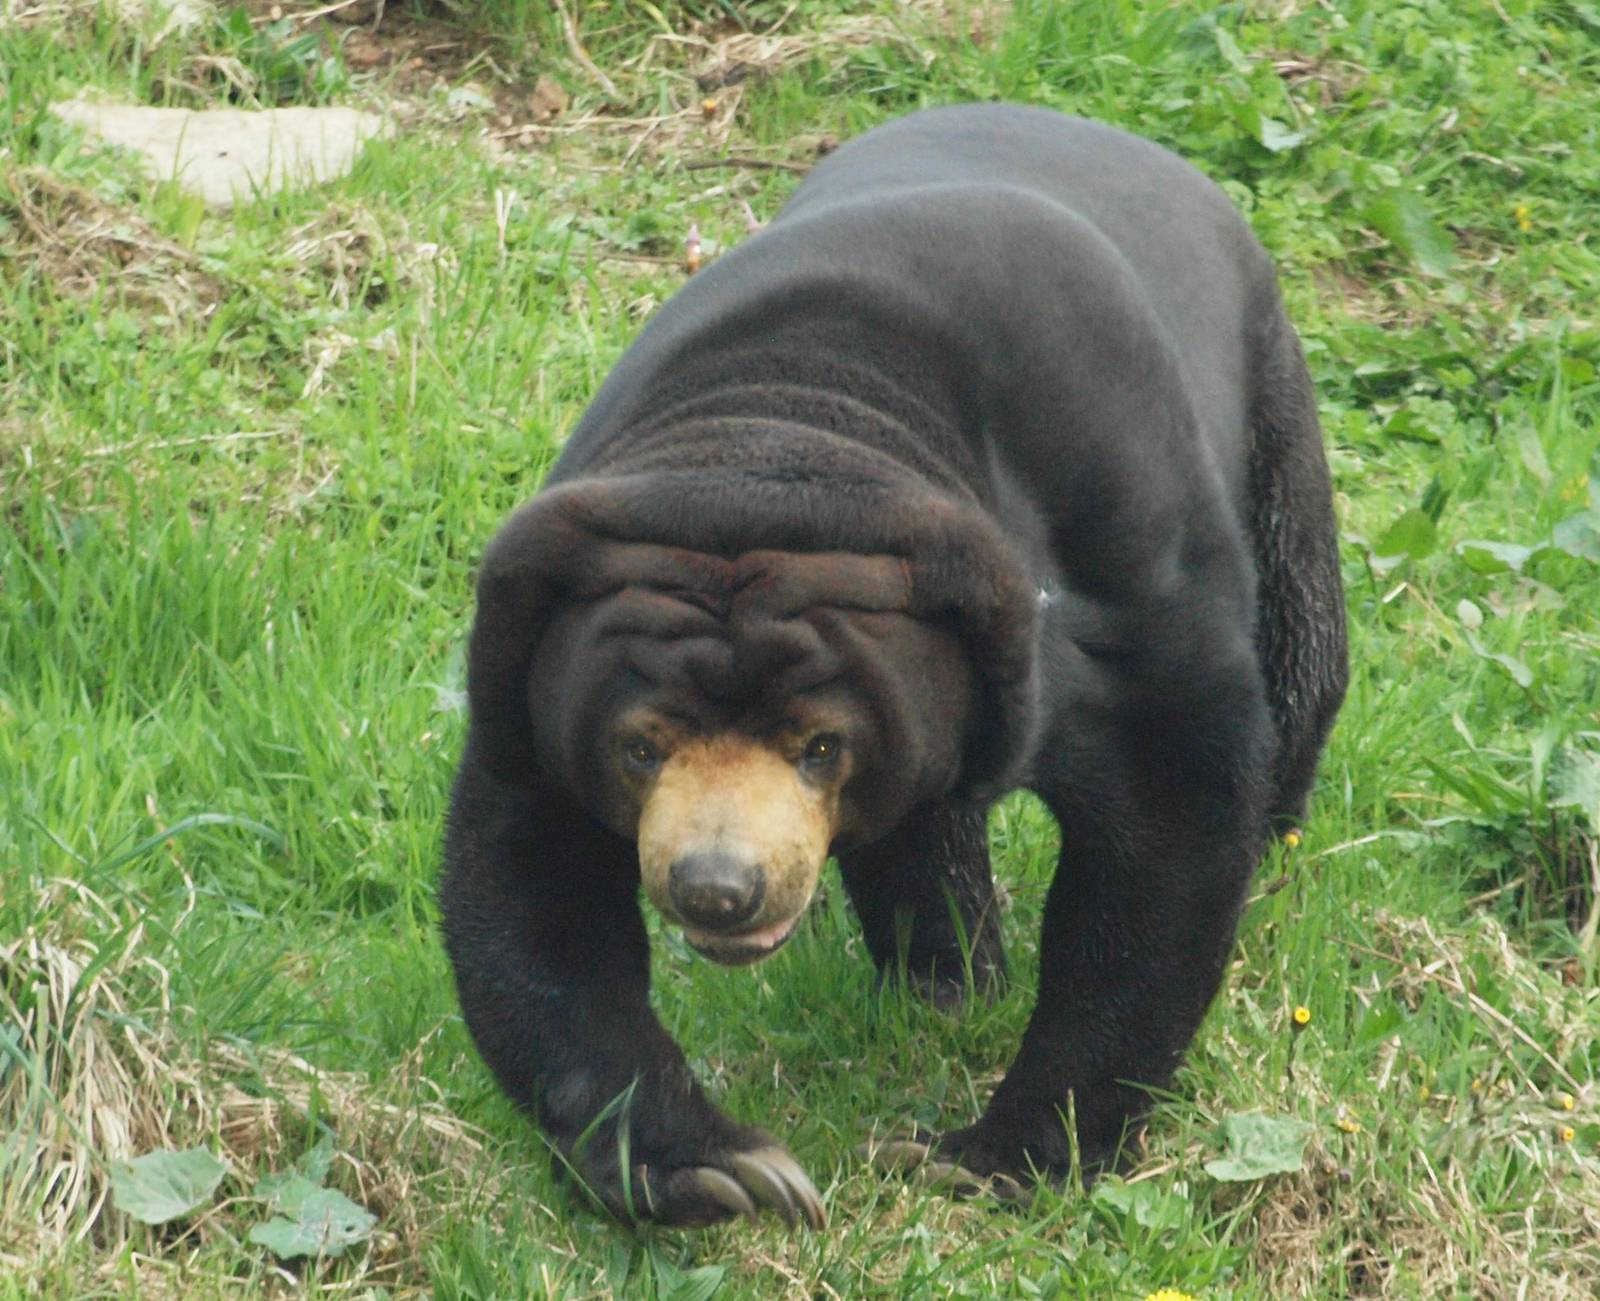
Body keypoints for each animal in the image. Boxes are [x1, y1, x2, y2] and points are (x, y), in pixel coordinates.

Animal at [439, 103, 1348, 1228]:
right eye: (639, 747)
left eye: (820, 744)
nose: (717, 889)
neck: (789, 424)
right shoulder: (531, 651)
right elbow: (535, 877)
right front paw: (721, 1168)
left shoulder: (1120, 554)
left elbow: (1168, 808)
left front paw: (994, 1156)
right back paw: (944, 980)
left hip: (1272, 416)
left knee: (1301, 651)